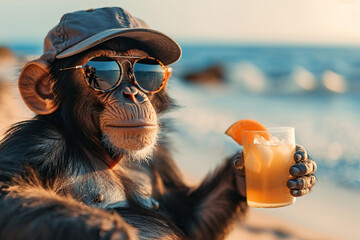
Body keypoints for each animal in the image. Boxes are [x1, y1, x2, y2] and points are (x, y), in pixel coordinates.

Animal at [0, 7, 316, 240]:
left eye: (146, 71)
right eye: (100, 71)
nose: (133, 93)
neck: (104, 153)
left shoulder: (160, 158)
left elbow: (191, 220)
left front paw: (256, 171)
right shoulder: (37, 143)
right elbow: (9, 192)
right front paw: (110, 228)